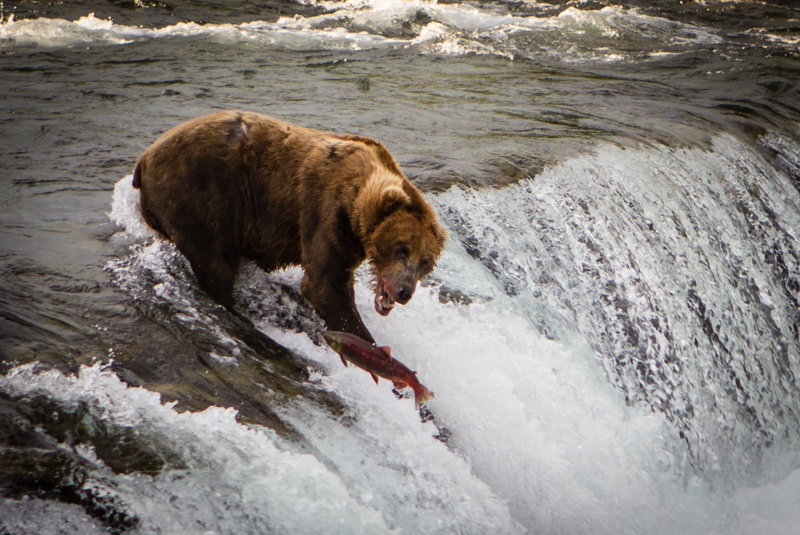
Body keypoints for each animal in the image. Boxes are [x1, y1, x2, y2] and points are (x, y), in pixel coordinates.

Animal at [134, 110, 446, 344]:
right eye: (401, 248)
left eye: (425, 261)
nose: (404, 291)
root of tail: (144, 159)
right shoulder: (325, 212)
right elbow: (324, 284)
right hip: (200, 197)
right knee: (215, 264)